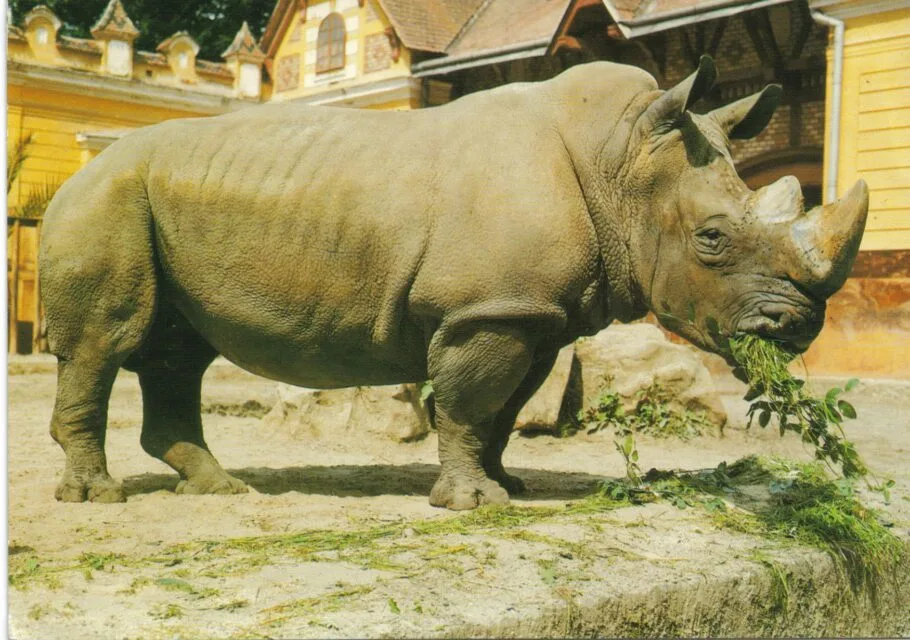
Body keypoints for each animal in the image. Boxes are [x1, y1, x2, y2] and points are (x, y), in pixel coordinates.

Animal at [40, 56, 867, 510]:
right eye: (712, 239)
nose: (797, 327)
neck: (621, 163)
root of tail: (76, 170)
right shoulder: (487, 310)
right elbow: (471, 403)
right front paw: (472, 504)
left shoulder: (534, 314)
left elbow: (504, 409)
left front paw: (509, 486)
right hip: (106, 197)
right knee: (105, 343)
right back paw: (98, 499)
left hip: (146, 200)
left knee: (176, 353)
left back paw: (220, 489)